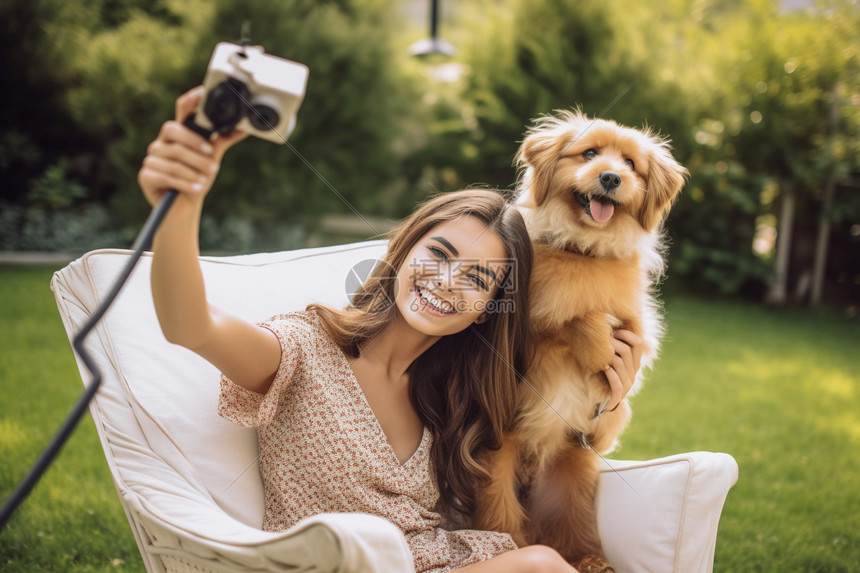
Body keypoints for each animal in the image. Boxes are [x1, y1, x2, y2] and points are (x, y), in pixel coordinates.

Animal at [474, 109, 688, 568]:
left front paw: (605, 368)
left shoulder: (636, 325)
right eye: (589, 154)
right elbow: (569, 316)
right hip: (500, 466)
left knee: (569, 531)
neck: (584, 252)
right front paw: (598, 348)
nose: (610, 177)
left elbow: (622, 340)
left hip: (571, 473)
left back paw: (591, 560)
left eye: (630, 164)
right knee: (507, 523)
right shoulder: (529, 329)